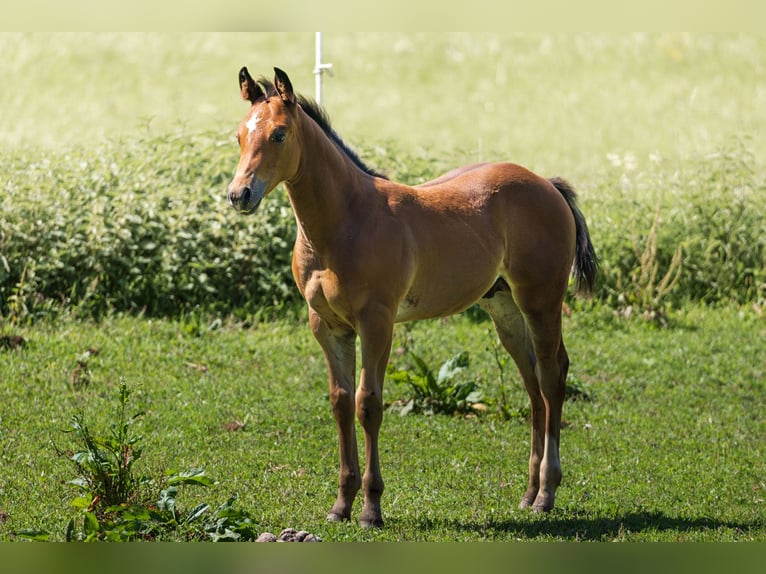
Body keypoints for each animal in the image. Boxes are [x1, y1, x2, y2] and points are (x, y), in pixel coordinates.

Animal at [226, 67, 598, 528]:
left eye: (278, 134)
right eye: (239, 135)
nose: (239, 194)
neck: (345, 222)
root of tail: (547, 183)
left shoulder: (377, 322)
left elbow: (368, 404)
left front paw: (371, 508)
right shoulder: (327, 326)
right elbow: (340, 403)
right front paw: (341, 505)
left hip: (540, 301)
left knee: (552, 376)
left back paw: (547, 493)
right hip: (504, 308)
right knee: (532, 383)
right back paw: (528, 494)